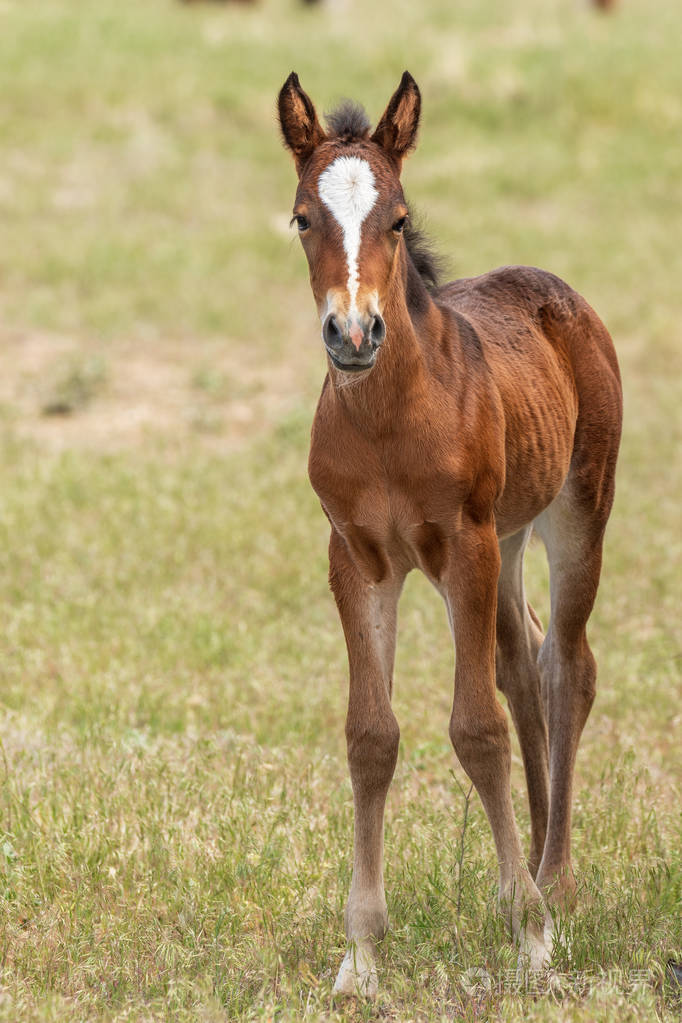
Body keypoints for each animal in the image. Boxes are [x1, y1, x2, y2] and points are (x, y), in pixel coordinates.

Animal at [278, 70, 625, 998]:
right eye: (302, 217)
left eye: (398, 218)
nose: (352, 334)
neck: (390, 419)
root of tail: (558, 292)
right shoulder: (357, 557)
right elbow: (371, 735)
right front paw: (360, 955)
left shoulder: (460, 542)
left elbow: (476, 728)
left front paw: (530, 938)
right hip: (506, 538)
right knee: (524, 661)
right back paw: (536, 861)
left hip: (574, 510)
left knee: (566, 665)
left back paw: (555, 880)